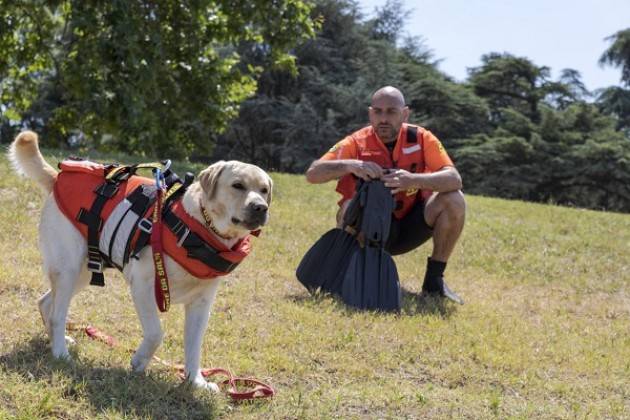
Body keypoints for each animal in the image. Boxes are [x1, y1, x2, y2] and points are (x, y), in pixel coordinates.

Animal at [8, 130, 272, 390]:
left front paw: (195, 381)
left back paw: (58, 341)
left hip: (83, 271)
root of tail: (57, 178)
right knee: (57, 314)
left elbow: (194, 345)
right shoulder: (143, 287)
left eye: (264, 190)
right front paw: (140, 361)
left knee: (45, 303)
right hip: (68, 269)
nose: (260, 207)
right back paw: (60, 352)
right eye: (238, 185)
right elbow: (156, 333)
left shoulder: (201, 304)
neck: (199, 231)